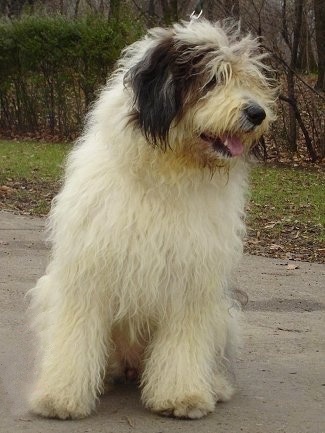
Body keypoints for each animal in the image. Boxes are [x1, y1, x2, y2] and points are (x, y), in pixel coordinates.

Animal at [28, 17, 276, 418]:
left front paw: (182, 396)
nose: (257, 114)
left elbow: (183, 344)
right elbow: (74, 337)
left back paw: (215, 385)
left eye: (247, 78)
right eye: (212, 80)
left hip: (222, 313)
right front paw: (60, 397)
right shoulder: (87, 273)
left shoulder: (192, 280)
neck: (166, 174)